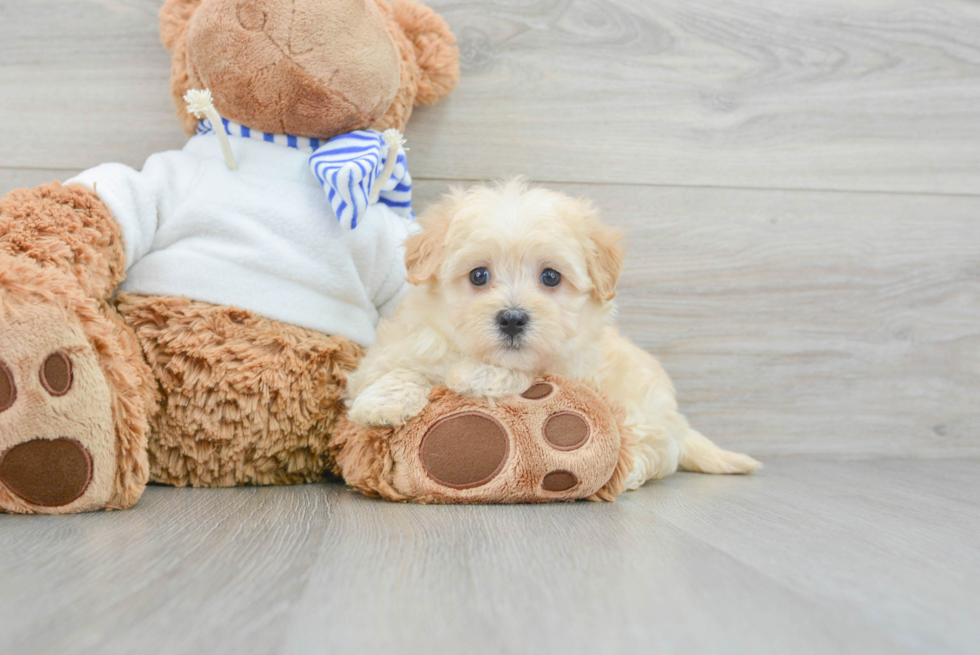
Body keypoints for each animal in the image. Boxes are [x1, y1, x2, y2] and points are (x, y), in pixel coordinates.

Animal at [348, 178, 760, 486]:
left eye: (550, 277)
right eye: (478, 275)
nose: (512, 318)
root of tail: (678, 423)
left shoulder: (571, 370)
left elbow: (524, 374)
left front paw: (475, 376)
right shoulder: (401, 347)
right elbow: (396, 370)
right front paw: (380, 403)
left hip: (646, 415)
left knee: (656, 452)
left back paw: (629, 472)